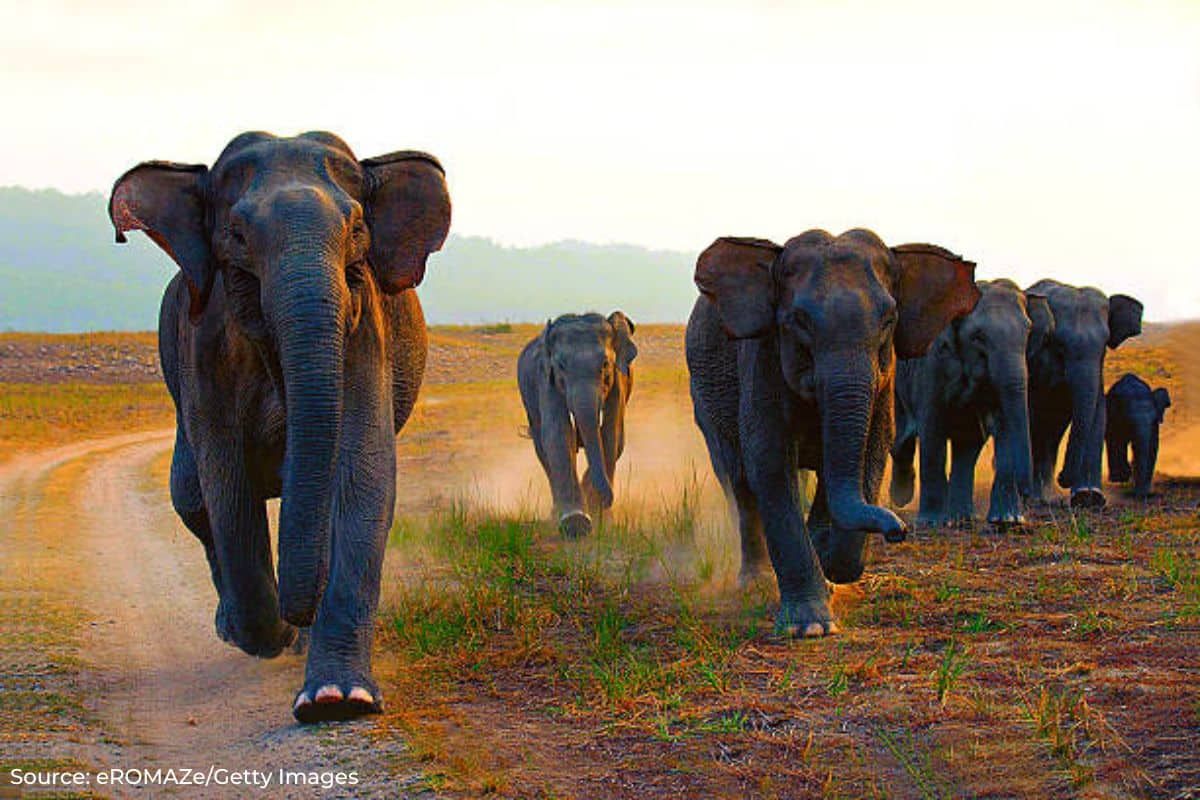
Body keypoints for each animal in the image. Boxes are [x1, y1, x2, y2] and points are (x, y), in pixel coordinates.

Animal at [108, 131, 451, 723]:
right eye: (238, 235)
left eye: (356, 229)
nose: (299, 615)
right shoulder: (205, 348)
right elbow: (227, 489)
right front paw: (273, 637)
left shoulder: (364, 330)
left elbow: (361, 476)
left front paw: (336, 700)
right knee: (192, 499)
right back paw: (237, 629)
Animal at [517, 312, 637, 538]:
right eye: (561, 367)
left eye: (605, 365)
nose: (607, 500)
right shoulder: (546, 380)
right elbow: (558, 434)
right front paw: (576, 523)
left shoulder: (619, 381)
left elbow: (611, 434)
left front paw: (600, 517)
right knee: (542, 448)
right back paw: (557, 514)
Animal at [686, 231, 979, 637]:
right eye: (799, 321)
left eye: (889, 320)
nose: (899, 530)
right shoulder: (763, 356)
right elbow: (770, 465)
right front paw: (809, 627)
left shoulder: (884, 377)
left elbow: (871, 451)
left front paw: (827, 557)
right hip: (705, 402)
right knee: (740, 482)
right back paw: (756, 582)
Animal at [891, 280, 1051, 527]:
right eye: (978, 337)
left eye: (1028, 332)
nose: (1027, 494)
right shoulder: (933, 364)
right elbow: (932, 428)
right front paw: (931, 523)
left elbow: (1003, 423)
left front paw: (1008, 521)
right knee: (904, 437)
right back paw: (903, 497)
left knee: (967, 444)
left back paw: (961, 518)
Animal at [1025, 280, 1143, 509]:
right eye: (1058, 344)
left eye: (1105, 345)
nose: (1063, 478)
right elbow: (1032, 414)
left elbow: (1098, 414)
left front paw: (1088, 498)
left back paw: (1048, 495)